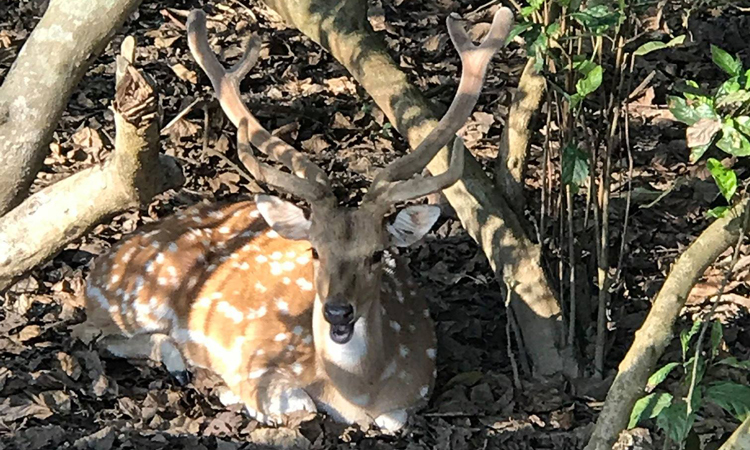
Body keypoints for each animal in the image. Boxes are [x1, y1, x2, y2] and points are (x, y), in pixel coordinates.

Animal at [73, 6, 516, 428]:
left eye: (377, 254)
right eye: (315, 250)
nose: (337, 312)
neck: (358, 392)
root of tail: (97, 266)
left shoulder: (419, 386)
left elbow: (393, 419)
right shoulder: (256, 364)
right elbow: (297, 403)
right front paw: (232, 394)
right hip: (135, 296)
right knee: (91, 333)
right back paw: (185, 365)